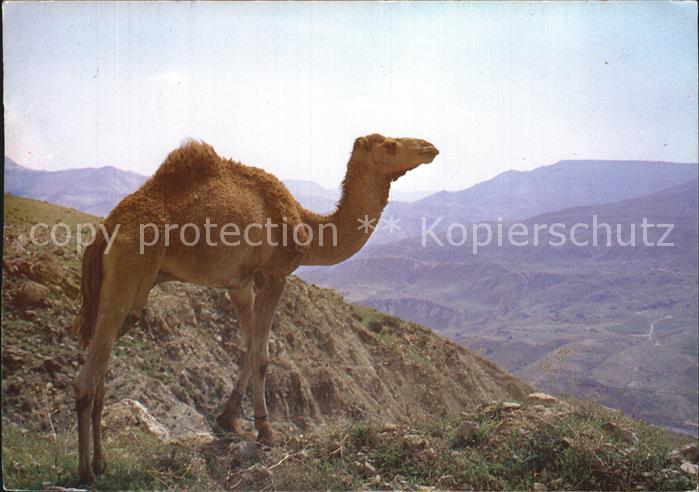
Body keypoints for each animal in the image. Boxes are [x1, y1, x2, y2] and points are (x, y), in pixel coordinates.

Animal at [70, 133, 439, 483]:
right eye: (390, 145)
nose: (429, 148)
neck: (308, 228)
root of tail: (104, 233)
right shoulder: (273, 275)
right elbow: (263, 355)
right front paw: (266, 431)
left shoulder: (239, 284)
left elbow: (249, 345)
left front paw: (228, 418)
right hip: (130, 269)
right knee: (86, 378)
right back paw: (86, 470)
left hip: (131, 293)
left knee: (102, 367)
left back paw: (102, 461)